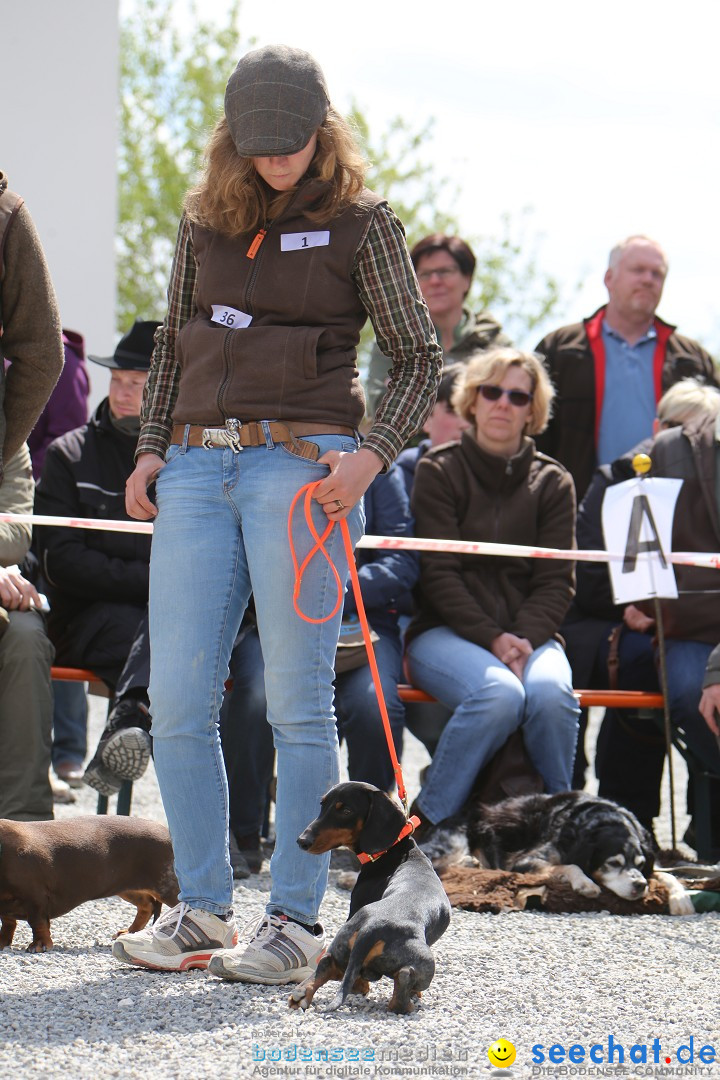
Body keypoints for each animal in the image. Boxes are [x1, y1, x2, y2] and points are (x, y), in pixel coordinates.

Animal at [0, 812, 179, 950]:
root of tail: (167, 833)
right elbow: (8, 924)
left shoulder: (35, 899)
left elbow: (37, 923)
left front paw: (40, 944)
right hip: (127, 889)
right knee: (147, 906)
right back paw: (131, 932)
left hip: (167, 888)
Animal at [289, 781, 451, 1015]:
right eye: (323, 805)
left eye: (346, 810)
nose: (302, 841)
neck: (392, 853)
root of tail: (371, 928)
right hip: (426, 961)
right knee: (399, 989)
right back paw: (408, 1001)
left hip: (344, 940)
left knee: (329, 963)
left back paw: (302, 994)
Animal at [468, 790, 660, 898]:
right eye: (613, 863)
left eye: (641, 864)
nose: (640, 885)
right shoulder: (523, 861)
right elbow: (571, 866)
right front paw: (585, 883)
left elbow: (662, 873)